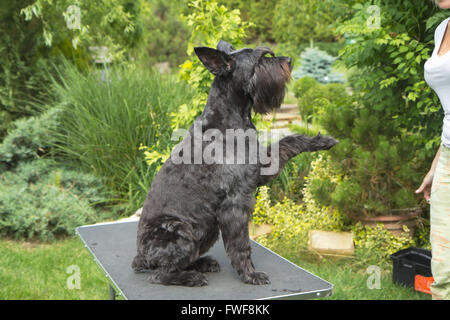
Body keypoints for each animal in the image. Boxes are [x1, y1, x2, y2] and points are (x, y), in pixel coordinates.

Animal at [132, 40, 336, 288]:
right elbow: (241, 245)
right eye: (261, 59)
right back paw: (192, 276)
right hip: (180, 232)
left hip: (208, 230)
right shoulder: (235, 205)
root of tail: (141, 256)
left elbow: (287, 142)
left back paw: (203, 263)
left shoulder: (262, 168)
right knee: (161, 273)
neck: (230, 119)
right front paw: (250, 275)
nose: (288, 61)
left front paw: (321, 140)